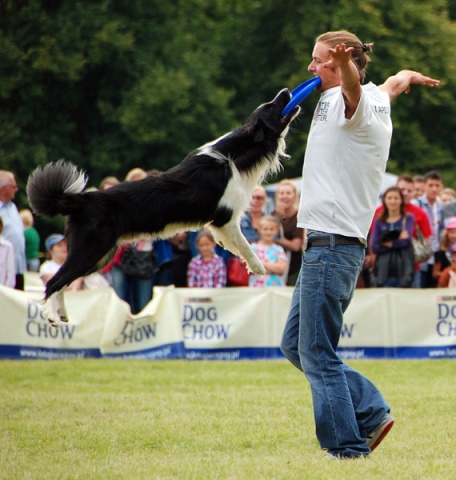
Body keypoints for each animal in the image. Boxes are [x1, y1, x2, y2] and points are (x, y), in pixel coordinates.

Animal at [27, 88, 300, 324]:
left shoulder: (222, 225)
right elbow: (245, 245)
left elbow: (232, 245)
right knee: (53, 281)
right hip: (91, 249)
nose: (286, 91)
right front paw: (258, 266)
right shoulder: (225, 218)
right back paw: (51, 317)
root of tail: (81, 199)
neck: (236, 154)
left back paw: (62, 314)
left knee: (62, 281)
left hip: (99, 255)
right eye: (272, 107)